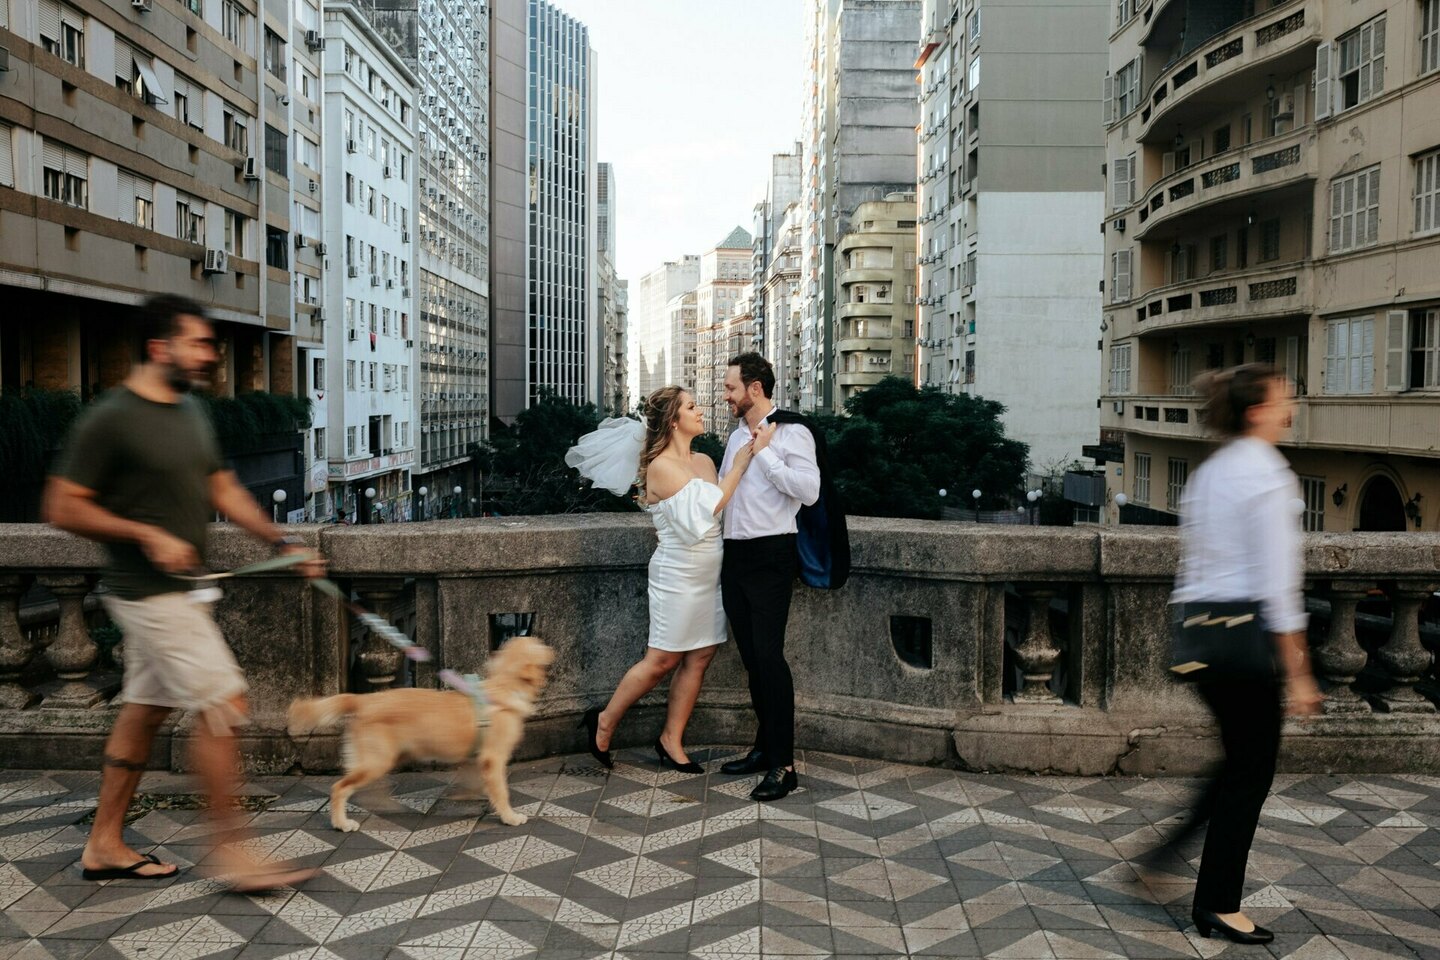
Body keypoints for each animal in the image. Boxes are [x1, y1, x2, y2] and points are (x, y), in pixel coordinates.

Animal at [285, 633, 550, 829]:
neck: (505, 687)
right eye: (537, 645)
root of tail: (365, 700)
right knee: (339, 788)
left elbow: (474, 781)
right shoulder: (493, 757)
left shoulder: (475, 758)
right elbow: (501, 790)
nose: (548, 644)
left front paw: (468, 796)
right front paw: (509, 816)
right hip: (376, 760)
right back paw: (342, 823)